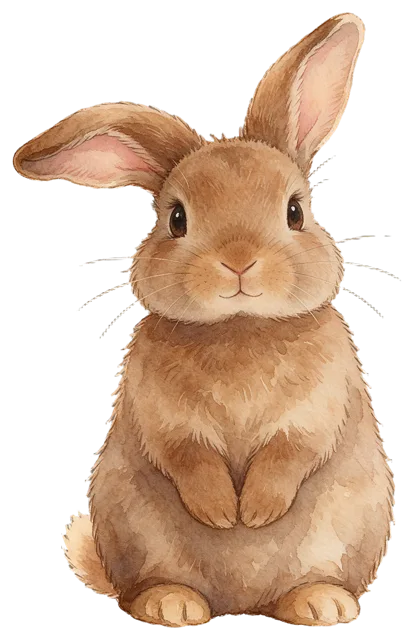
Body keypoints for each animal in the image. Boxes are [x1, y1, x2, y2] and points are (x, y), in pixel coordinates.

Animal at [13, 12, 394, 628]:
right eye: (176, 219)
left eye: (296, 212)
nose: (238, 261)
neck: (240, 328)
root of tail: (239, 606)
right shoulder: (162, 416)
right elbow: (186, 456)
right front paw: (221, 513)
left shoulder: (319, 408)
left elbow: (292, 450)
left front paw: (255, 513)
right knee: (144, 587)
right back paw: (174, 606)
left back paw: (319, 603)